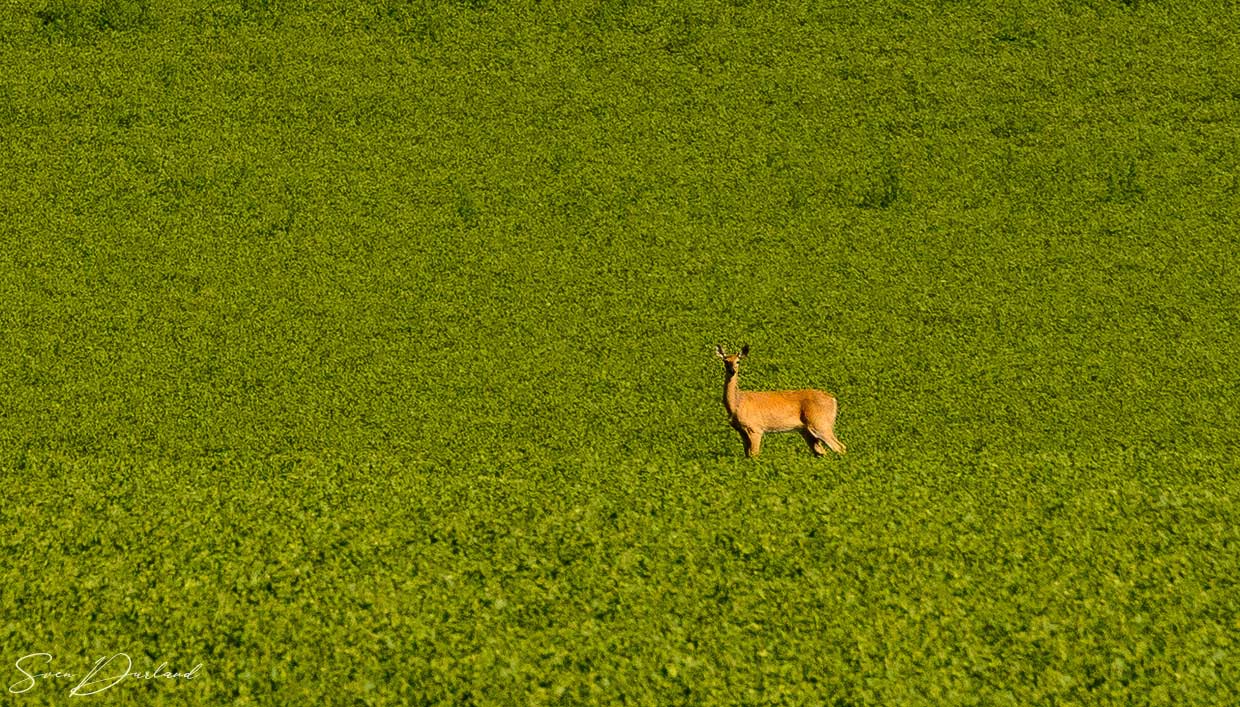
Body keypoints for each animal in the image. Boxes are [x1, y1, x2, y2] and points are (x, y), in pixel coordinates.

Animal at [714, 342, 848, 456]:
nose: (732, 371)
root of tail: (833, 399)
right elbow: (747, 455)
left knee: (839, 447)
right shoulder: (741, 431)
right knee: (822, 451)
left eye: (738, 361)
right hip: (807, 430)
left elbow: (754, 455)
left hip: (820, 422)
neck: (736, 404)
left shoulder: (755, 428)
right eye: (725, 361)